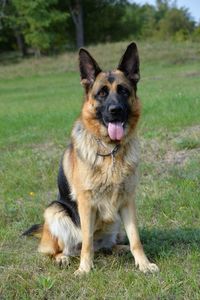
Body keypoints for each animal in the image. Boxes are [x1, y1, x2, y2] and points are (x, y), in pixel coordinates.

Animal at [22, 42, 159, 276]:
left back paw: (119, 249)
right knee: (64, 249)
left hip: (114, 223)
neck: (110, 150)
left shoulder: (127, 200)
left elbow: (135, 238)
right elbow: (86, 241)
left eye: (123, 91)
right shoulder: (86, 203)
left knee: (108, 245)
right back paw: (64, 258)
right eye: (101, 93)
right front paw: (85, 269)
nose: (115, 110)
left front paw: (143, 263)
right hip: (55, 211)